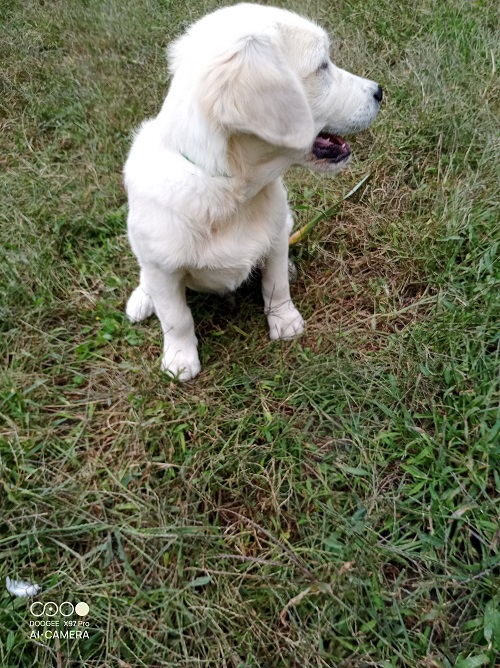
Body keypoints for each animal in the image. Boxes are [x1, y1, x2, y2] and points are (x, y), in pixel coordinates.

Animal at [123, 2, 380, 380]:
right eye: (322, 66)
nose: (379, 91)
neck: (230, 188)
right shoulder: (163, 267)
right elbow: (176, 316)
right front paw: (180, 358)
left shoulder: (274, 237)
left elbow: (275, 285)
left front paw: (285, 321)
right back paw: (142, 299)